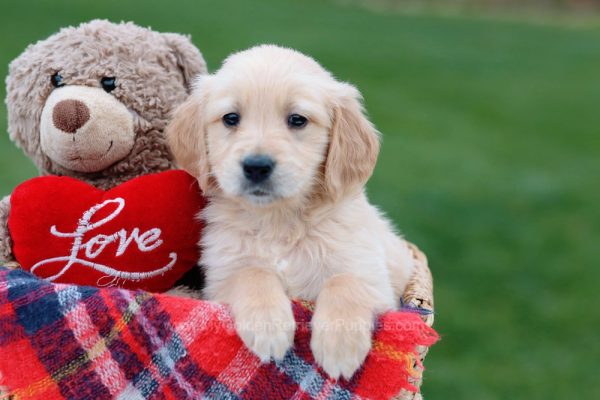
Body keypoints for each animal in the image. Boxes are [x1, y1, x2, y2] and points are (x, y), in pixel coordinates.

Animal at [166, 45, 414, 380]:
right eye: (231, 118)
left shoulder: (374, 278)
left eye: (297, 120)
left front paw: (340, 347)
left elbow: (344, 281)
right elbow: (252, 272)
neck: (277, 220)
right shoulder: (221, 275)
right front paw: (268, 326)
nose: (257, 166)